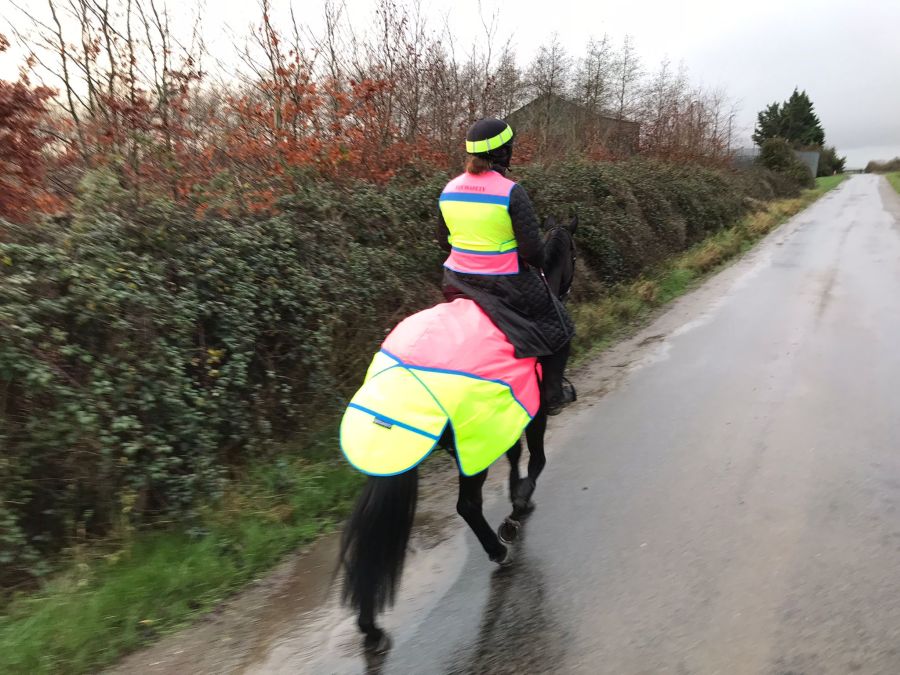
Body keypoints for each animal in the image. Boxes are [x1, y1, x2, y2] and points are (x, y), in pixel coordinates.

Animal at [338, 217, 576, 656]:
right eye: (572, 253)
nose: (566, 288)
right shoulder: (531, 407)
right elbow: (536, 458)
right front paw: (517, 507)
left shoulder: (506, 411)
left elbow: (514, 455)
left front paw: (517, 497)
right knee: (467, 505)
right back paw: (499, 551)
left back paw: (370, 626)